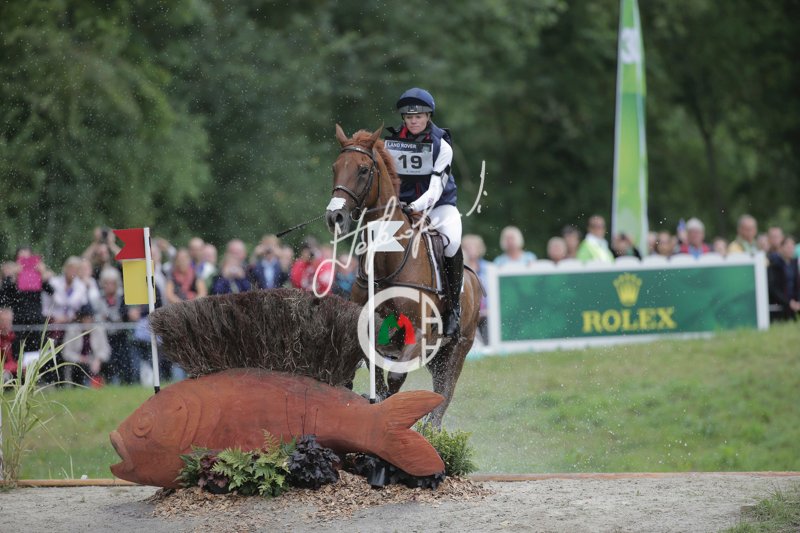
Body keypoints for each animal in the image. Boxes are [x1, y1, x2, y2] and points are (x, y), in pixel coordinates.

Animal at [325, 124, 481, 427]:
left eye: (363, 169)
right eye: (335, 167)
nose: (334, 216)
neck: (388, 260)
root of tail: (475, 280)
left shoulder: (419, 333)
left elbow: (396, 376)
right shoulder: (369, 330)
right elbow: (376, 373)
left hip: (456, 351)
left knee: (443, 396)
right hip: (437, 356)